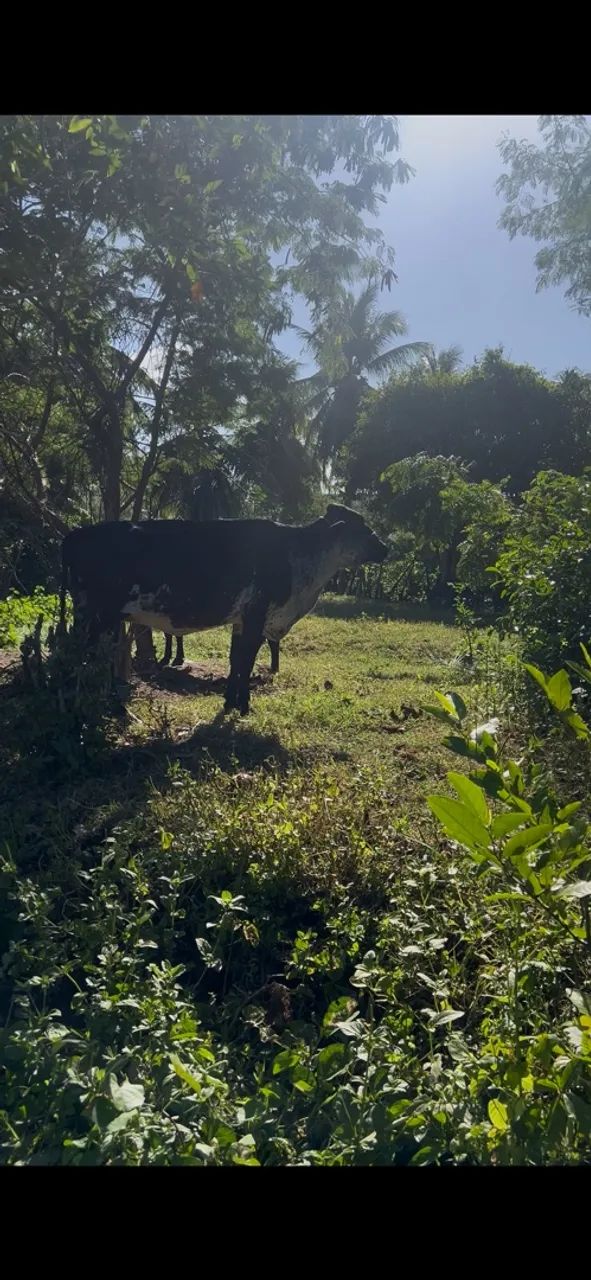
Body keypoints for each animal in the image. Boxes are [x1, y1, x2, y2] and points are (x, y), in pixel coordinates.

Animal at [60, 504, 388, 715]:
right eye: (364, 528)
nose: (387, 548)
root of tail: (73, 535)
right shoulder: (256, 615)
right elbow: (246, 660)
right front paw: (243, 705)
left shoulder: (241, 620)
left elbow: (234, 660)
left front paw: (230, 701)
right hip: (97, 616)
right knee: (85, 659)